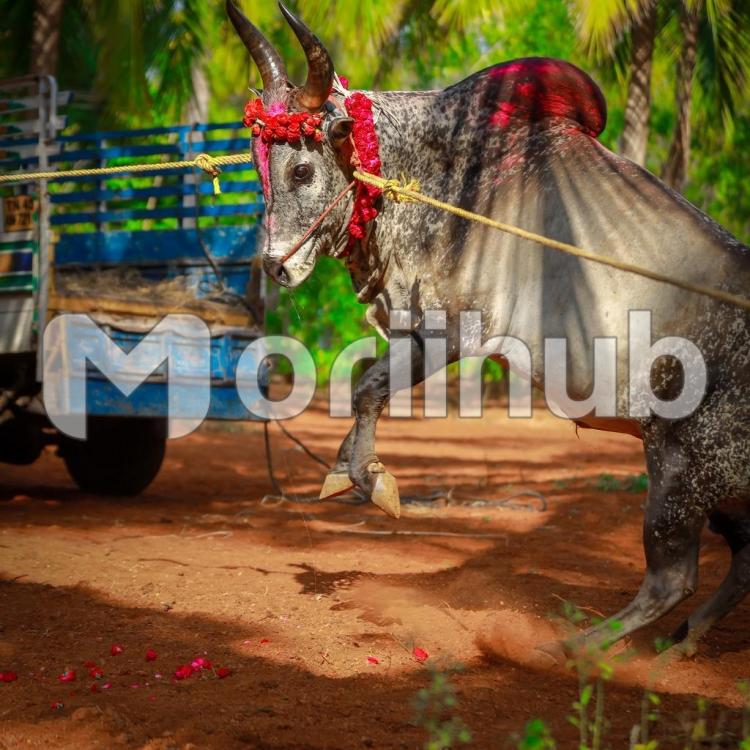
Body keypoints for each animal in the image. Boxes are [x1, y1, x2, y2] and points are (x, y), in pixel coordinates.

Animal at [227, 0, 750, 655]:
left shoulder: (450, 331)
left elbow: (369, 387)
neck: (434, 178)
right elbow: (365, 388)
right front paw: (345, 471)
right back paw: (682, 640)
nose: (276, 265)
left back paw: (565, 651)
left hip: (678, 467)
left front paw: (370, 479)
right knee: (741, 562)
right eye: (259, 168)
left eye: (301, 170)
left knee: (672, 579)